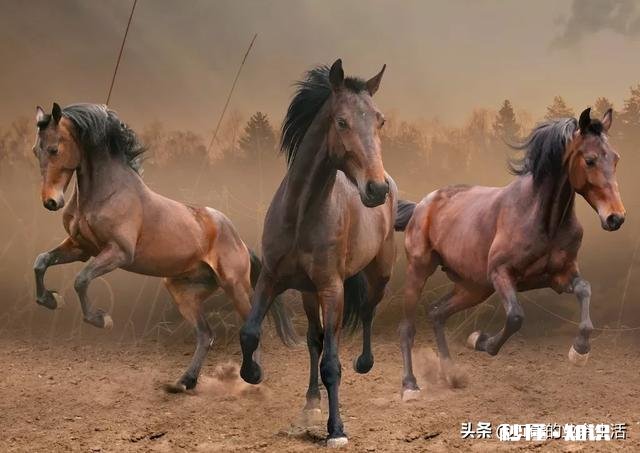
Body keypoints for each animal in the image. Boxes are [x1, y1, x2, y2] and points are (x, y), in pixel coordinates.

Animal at [31, 103, 297, 392]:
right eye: (35, 150)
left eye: (54, 149)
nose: (51, 202)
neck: (107, 193)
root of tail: (239, 241)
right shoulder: (81, 248)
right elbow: (41, 261)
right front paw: (50, 299)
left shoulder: (118, 253)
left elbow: (81, 280)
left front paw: (101, 319)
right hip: (184, 292)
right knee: (205, 335)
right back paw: (185, 382)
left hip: (234, 285)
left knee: (249, 326)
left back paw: (252, 375)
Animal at [237, 59, 395, 447]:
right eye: (341, 121)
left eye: (380, 121)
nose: (376, 188)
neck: (301, 214)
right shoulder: (271, 278)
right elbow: (250, 332)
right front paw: (253, 373)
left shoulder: (332, 288)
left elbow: (332, 365)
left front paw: (336, 429)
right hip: (309, 294)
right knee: (315, 339)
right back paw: (310, 402)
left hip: (378, 274)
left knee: (366, 311)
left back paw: (364, 363)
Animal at [394, 108, 625, 401]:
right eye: (590, 160)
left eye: (615, 158)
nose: (615, 217)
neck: (542, 219)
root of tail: (421, 206)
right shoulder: (501, 274)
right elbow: (516, 317)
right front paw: (480, 341)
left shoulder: (559, 277)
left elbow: (585, 289)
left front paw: (579, 352)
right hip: (420, 270)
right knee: (408, 327)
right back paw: (410, 385)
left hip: (473, 287)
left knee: (437, 313)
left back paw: (451, 374)